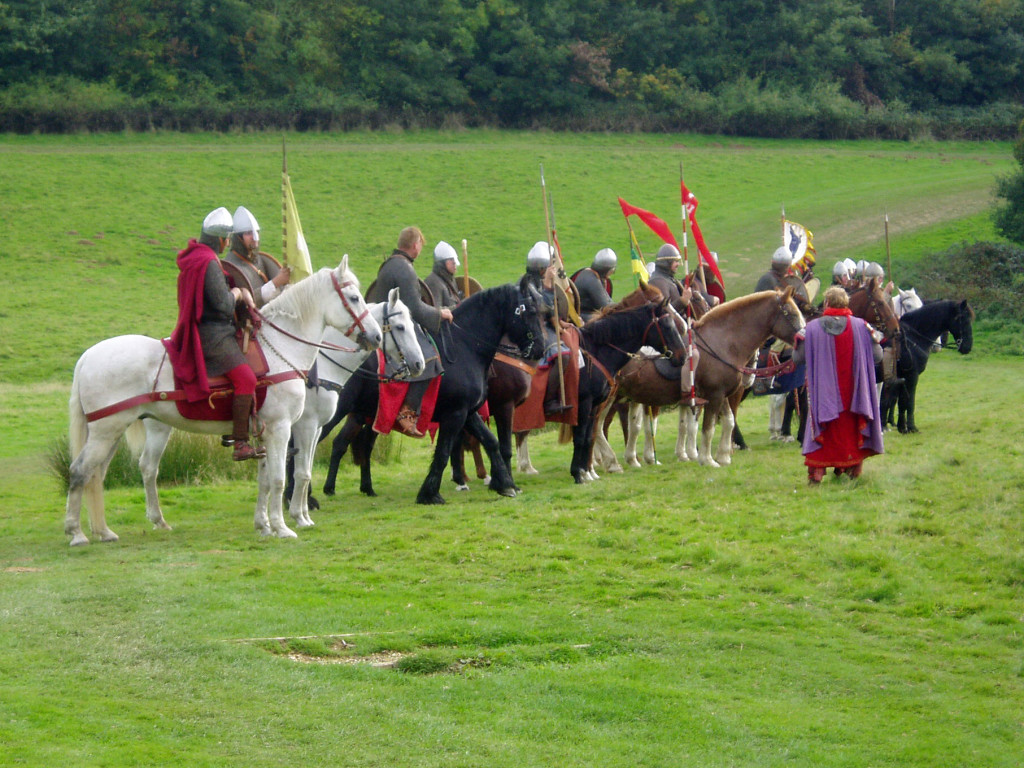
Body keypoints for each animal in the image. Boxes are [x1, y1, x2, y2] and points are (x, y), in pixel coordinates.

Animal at [65, 259, 385, 548]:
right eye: (354, 298)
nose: (376, 336)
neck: (281, 350)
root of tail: (87, 357)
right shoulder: (282, 429)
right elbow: (281, 478)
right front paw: (283, 528)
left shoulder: (266, 432)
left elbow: (265, 480)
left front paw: (264, 526)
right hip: (106, 432)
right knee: (80, 471)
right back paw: (77, 533)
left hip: (113, 432)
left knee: (97, 475)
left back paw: (105, 531)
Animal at [319, 280, 548, 507]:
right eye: (530, 311)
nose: (540, 349)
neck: (464, 347)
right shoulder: (457, 414)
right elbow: (444, 452)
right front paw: (429, 494)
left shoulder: (467, 412)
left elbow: (490, 442)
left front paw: (505, 484)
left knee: (356, 445)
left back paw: (359, 488)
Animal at [880, 299, 974, 434]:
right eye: (963, 319)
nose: (967, 347)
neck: (913, 340)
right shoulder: (912, 376)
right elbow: (909, 402)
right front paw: (912, 427)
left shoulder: (902, 377)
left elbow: (902, 402)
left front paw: (902, 427)